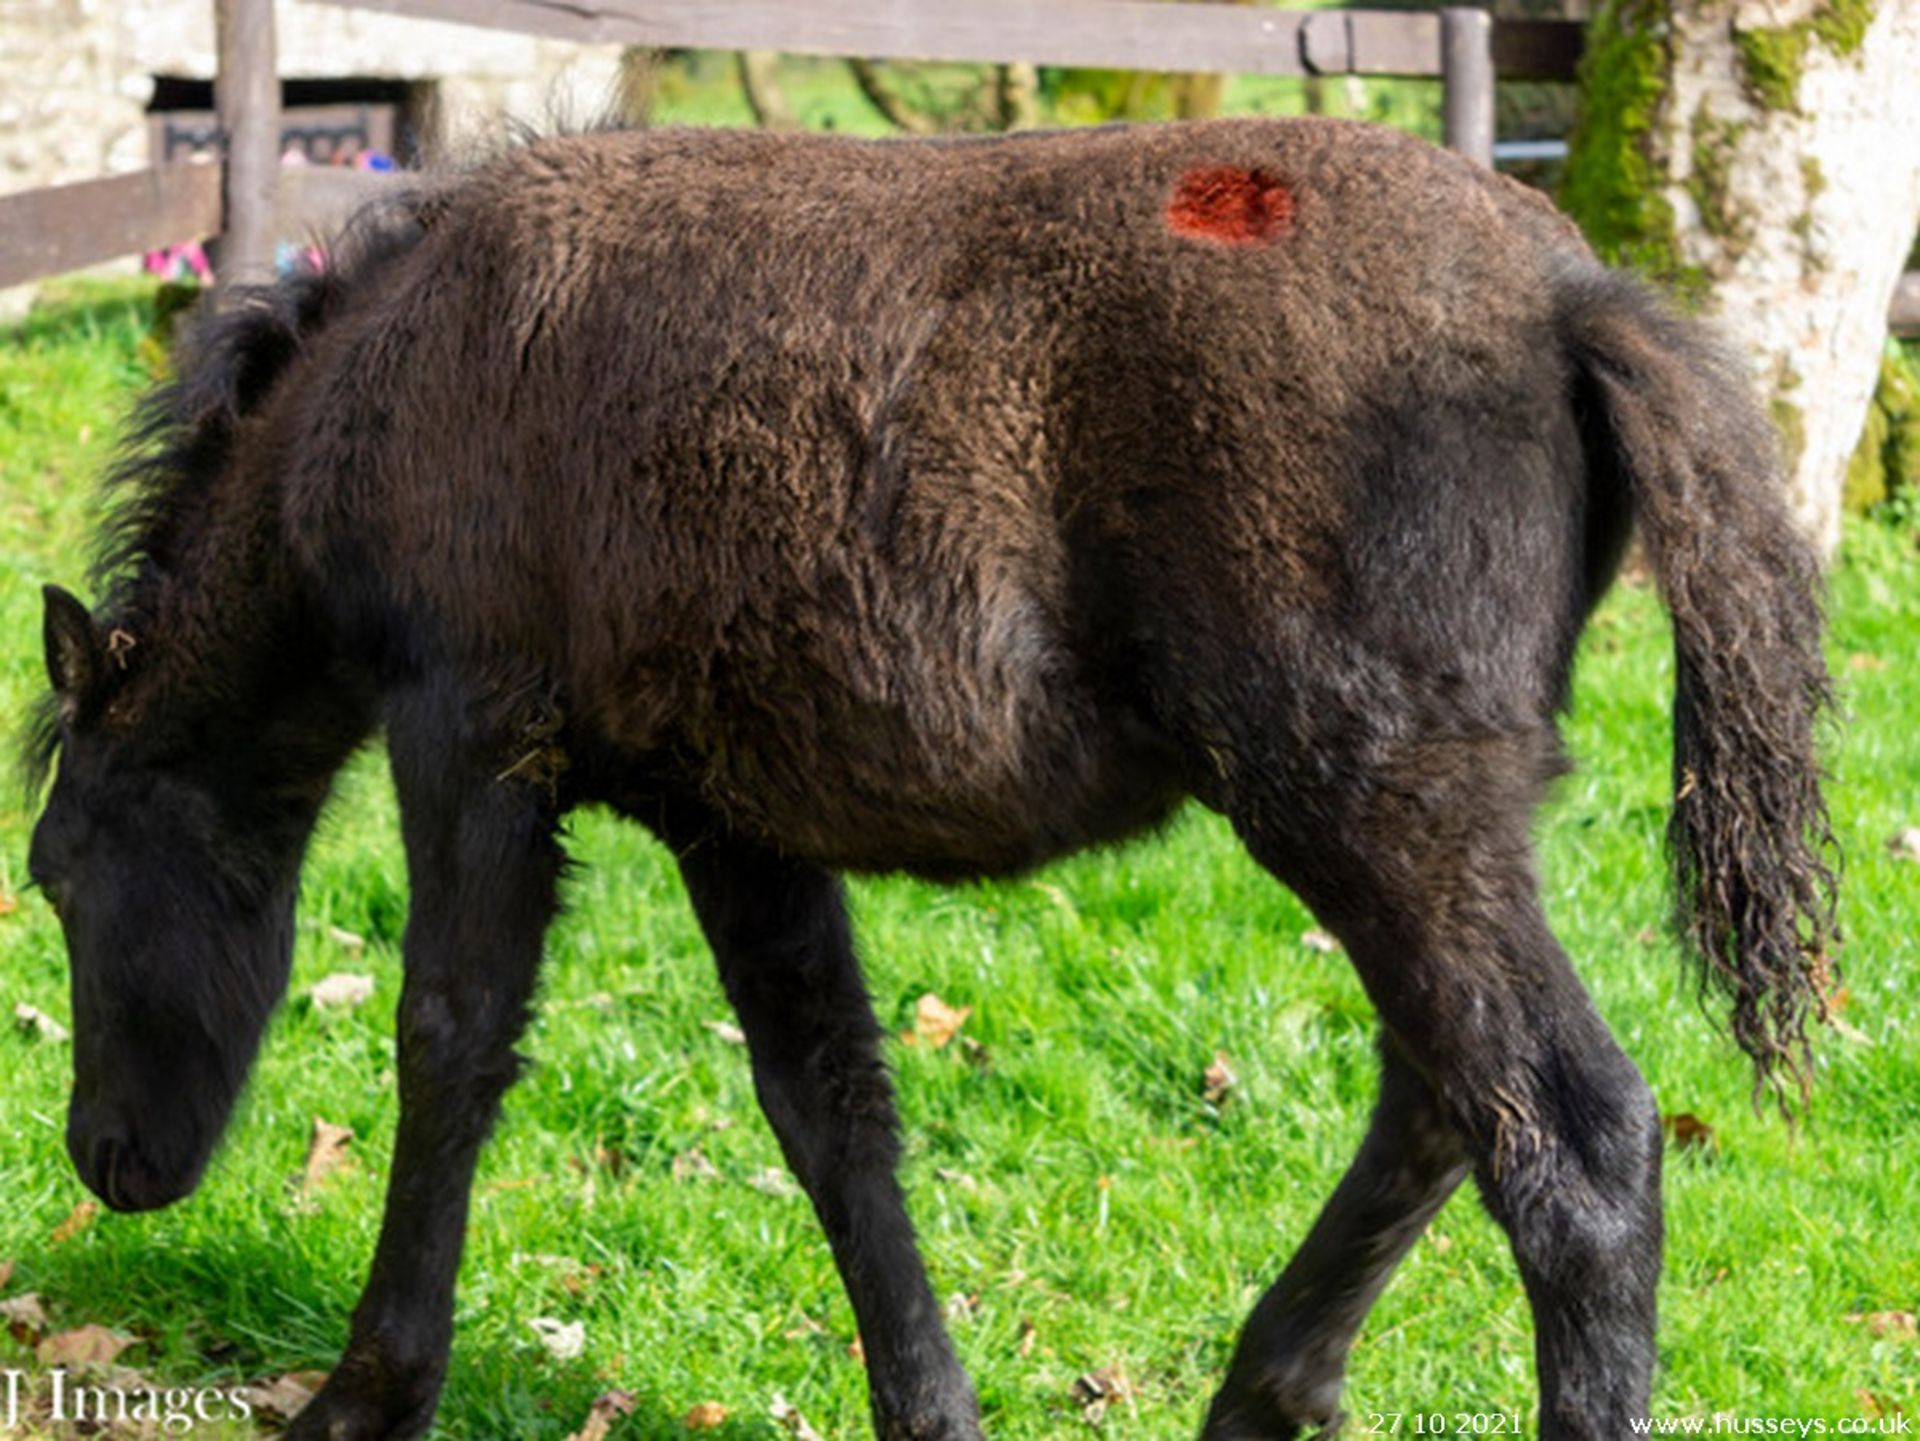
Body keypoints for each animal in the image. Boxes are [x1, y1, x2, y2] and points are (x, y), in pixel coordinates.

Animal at [26, 123, 1827, 1441]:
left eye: (53, 871)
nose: (109, 1160)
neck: (393, 374)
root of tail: (1572, 296)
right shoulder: (730, 816)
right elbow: (829, 1104)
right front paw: (932, 1407)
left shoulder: (469, 729)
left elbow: (449, 1046)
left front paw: (363, 1392)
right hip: (1414, 814)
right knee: (1445, 1090)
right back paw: (1260, 1392)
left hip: (1366, 794)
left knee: (1574, 1141)